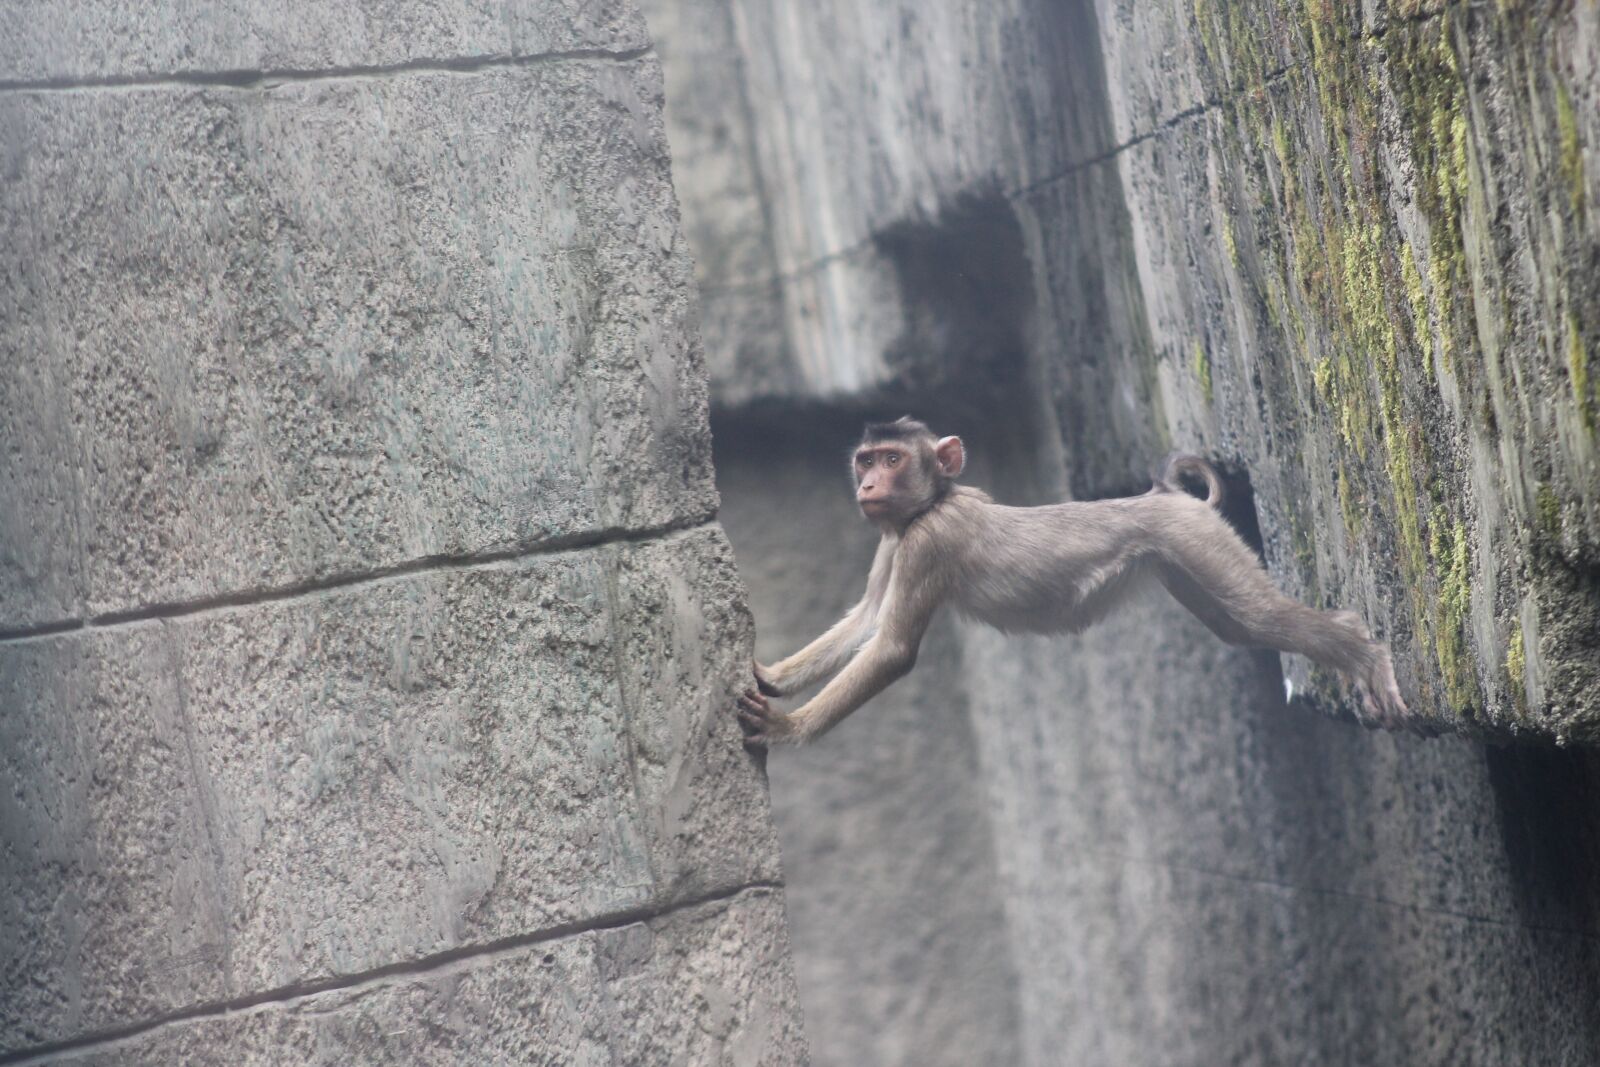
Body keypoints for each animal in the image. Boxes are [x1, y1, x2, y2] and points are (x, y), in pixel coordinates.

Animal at [737, 416, 1413, 746]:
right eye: (865, 461)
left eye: (892, 458)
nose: (869, 484)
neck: (934, 503)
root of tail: (1164, 497)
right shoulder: (894, 542)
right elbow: (865, 620)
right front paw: (770, 676)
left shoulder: (929, 543)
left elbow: (892, 649)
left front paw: (787, 726)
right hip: (1185, 560)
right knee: (1238, 626)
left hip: (1198, 543)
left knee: (1257, 617)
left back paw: (1363, 652)